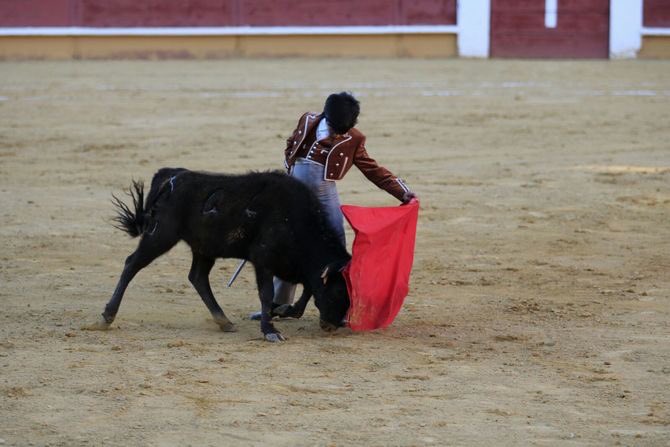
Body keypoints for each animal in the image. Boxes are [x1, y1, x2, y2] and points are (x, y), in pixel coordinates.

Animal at [92, 168, 354, 344]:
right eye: (338, 292)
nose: (331, 325)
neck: (297, 221)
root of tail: (171, 176)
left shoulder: (296, 267)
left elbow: (307, 290)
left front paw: (283, 312)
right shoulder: (263, 260)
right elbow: (266, 293)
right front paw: (270, 330)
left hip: (203, 248)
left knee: (197, 277)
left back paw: (224, 321)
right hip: (160, 235)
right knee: (132, 264)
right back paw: (106, 317)